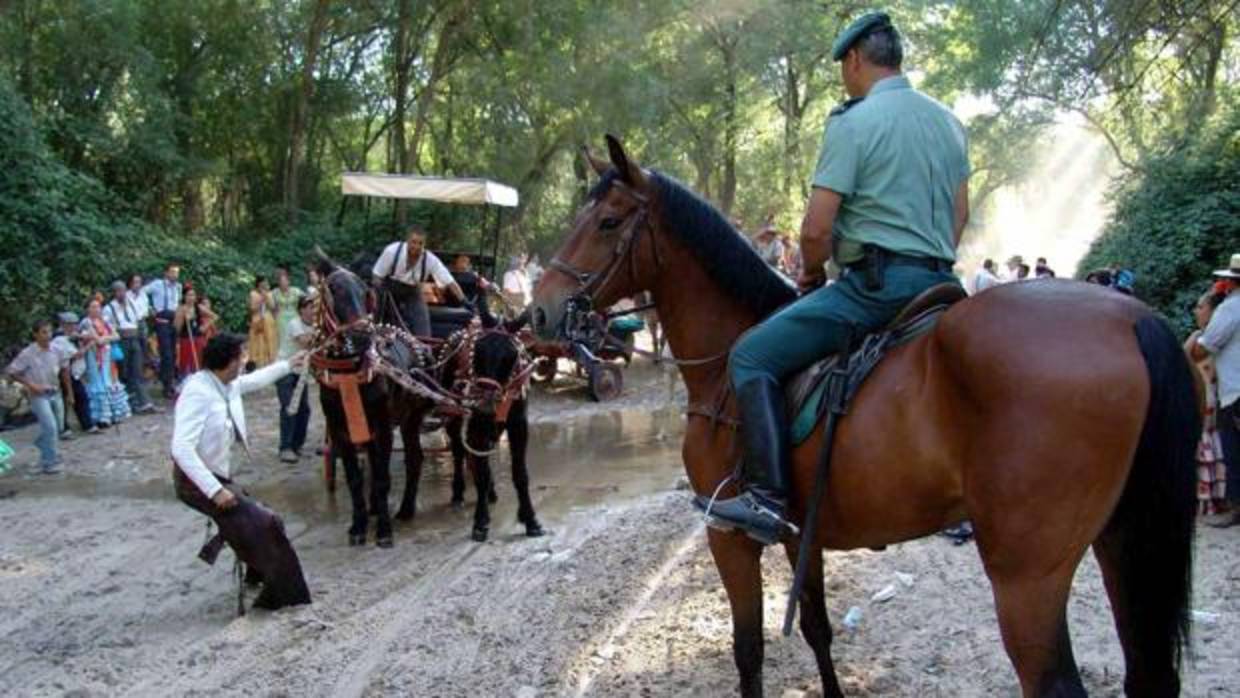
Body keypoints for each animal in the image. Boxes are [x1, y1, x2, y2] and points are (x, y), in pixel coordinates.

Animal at [528, 133, 1195, 694]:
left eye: (608, 222)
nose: (538, 312)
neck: (726, 361)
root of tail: (1130, 318)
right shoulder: (803, 534)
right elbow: (817, 629)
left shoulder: (728, 536)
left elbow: (748, 651)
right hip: (1120, 543)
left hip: (1027, 576)